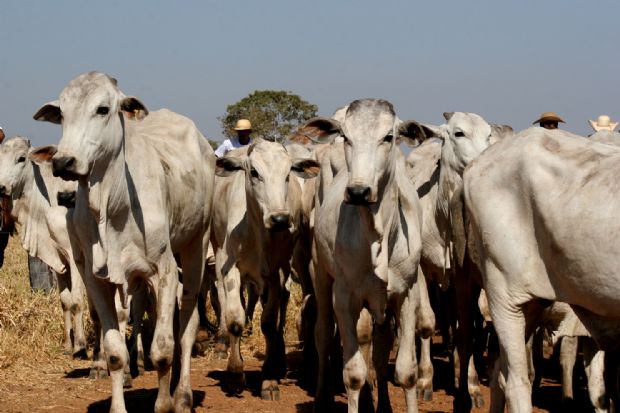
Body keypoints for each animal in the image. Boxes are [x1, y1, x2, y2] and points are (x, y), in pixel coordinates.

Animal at [34, 72, 214, 412]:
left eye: (103, 109)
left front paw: (164, 404)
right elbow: (116, 352)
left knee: (186, 325)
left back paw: (182, 395)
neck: (113, 206)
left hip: (196, 246)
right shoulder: (95, 278)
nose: (63, 162)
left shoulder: (164, 272)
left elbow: (162, 350)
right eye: (61, 113)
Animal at [308, 98, 434, 410]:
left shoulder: (405, 295)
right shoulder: (345, 297)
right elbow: (353, 374)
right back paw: (322, 396)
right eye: (346, 136)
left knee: (379, 348)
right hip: (320, 273)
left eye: (388, 137)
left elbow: (406, 372)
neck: (379, 237)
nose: (358, 191)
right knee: (323, 334)